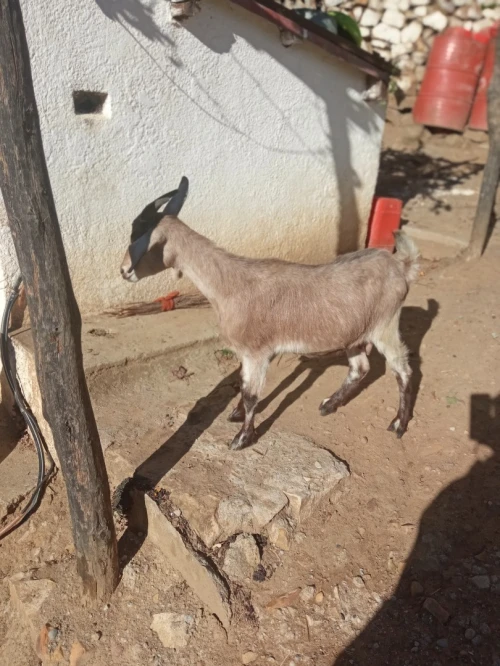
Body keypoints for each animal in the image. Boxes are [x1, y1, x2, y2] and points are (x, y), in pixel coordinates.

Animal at [120, 177, 420, 450]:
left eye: (137, 235)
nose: (123, 271)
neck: (230, 285)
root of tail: (400, 266)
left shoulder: (257, 352)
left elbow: (250, 393)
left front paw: (242, 438)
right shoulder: (249, 354)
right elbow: (242, 385)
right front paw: (236, 413)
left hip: (385, 325)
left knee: (403, 369)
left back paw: (399, 424)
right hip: (356, 333)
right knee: (360, 368)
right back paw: (329, 405)